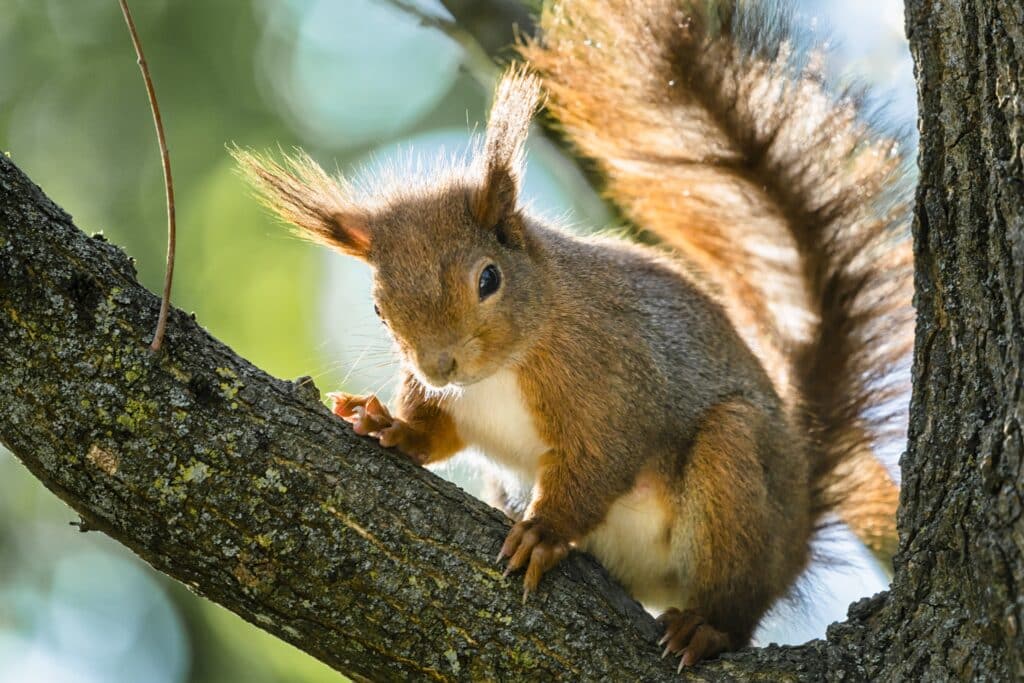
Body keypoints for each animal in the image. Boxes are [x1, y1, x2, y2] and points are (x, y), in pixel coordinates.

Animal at [234, 0, 913, 668]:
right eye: (377, 308)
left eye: (488, 278)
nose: (438, 365)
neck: (504, 367)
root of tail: (798, 529)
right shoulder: (458, 404)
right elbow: (437, 431)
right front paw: (390, 425)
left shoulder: (608, 382)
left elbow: (597, 463)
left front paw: (545, 532)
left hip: (738, 476)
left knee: (738, 601)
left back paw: (705, 628)